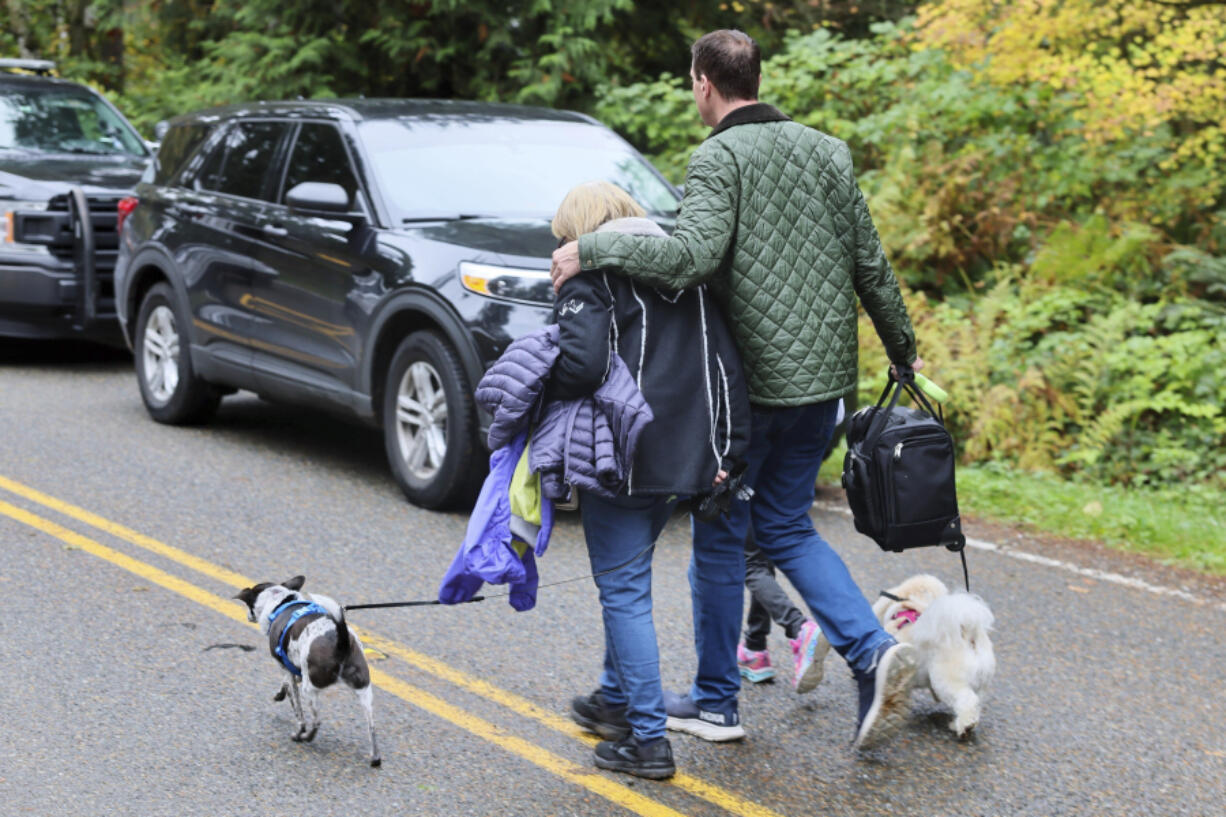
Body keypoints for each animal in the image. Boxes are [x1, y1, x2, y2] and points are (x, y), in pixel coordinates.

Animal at [231, 571, 380, 765]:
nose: (248, 617)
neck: (280, 603)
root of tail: (342, 641)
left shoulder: (287, 669)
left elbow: (297, 710)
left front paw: (298, 727)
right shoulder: (296, 669)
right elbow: (286, 685)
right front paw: (279, 694)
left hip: (309, 690)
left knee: (316, 721)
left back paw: (303, 737)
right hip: (364, 691)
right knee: (372, 727)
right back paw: (375, 758)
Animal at [872, 569, 995, 736]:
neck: (913, 606)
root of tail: (968, 632)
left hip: (945, 680)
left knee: (967, 700)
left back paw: (964, 726)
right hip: (980, 683)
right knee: (975, 703)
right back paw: (960, 724)